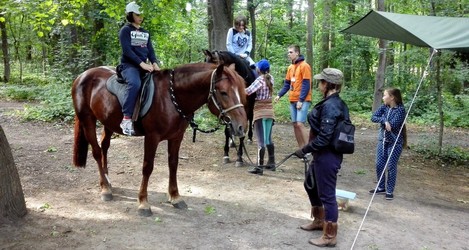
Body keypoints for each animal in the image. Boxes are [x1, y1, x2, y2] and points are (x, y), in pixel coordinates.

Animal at [71, 61, 247, 216]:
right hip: (87, 119)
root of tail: (82, 75)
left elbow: (173, 164)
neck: (172, 97)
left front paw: (175, 197)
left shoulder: (176, 137)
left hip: (108, 122)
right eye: (223, 92)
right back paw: (105, 189)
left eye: (240, 91)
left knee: (105, 147)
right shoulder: (152, 137)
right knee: (96, 151)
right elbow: (147, 167)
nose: (241, 126)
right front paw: (143, 203)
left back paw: (107, 182)